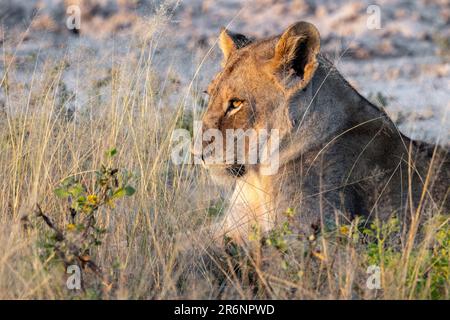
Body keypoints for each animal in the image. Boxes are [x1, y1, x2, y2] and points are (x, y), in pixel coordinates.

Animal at [195, 21, 448, 244]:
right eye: (209, 94)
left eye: (236, 103)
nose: (197, 154)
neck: (256, 177)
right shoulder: (229, 229)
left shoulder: (311, 241)